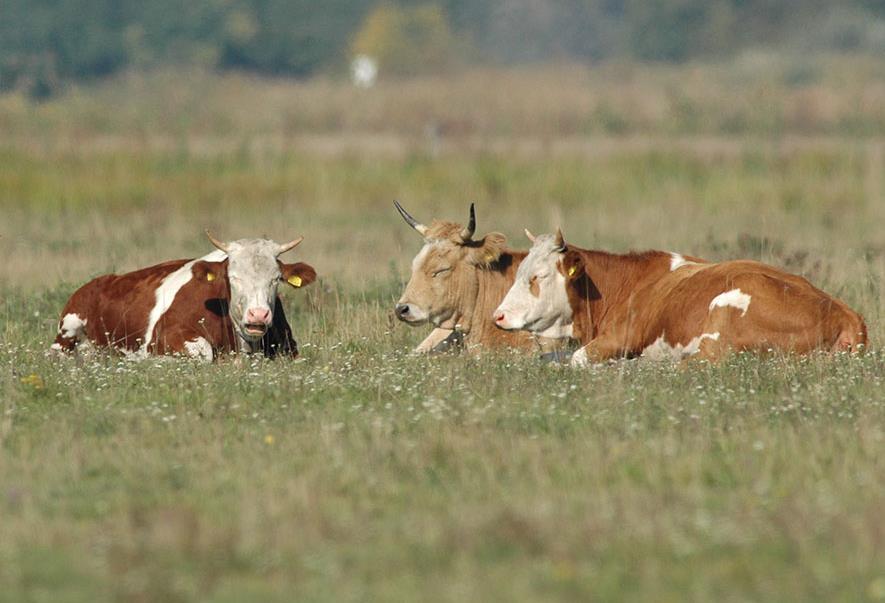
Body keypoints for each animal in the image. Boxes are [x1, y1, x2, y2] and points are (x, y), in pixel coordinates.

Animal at [51, 234, 318, 360]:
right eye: (233, 277)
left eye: (276, 278)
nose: (258, 315)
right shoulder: (164, 336)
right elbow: (204, 352)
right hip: (66, 335)